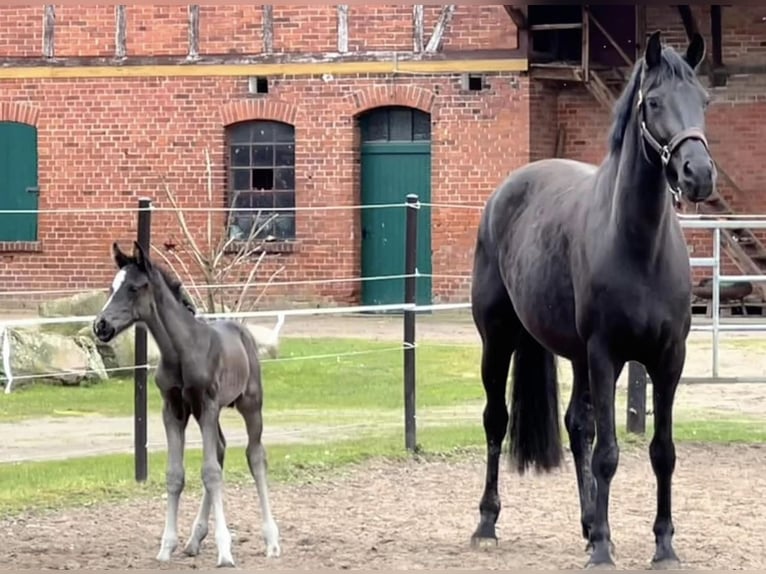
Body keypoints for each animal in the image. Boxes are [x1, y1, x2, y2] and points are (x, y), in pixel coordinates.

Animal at [472, 29, 716, 568]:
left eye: (704, 100)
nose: (699, 174)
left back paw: (587, 523)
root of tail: (506, 192)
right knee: (496, 421)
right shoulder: (606, 355)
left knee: (576, 424)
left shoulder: (669, 359)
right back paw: (486, 523)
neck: (638, 245)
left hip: (576, 356)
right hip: (499, 339)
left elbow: (662, 451)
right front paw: (604, 548)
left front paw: (663, 545)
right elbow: (608, 453)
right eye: (653, 102)